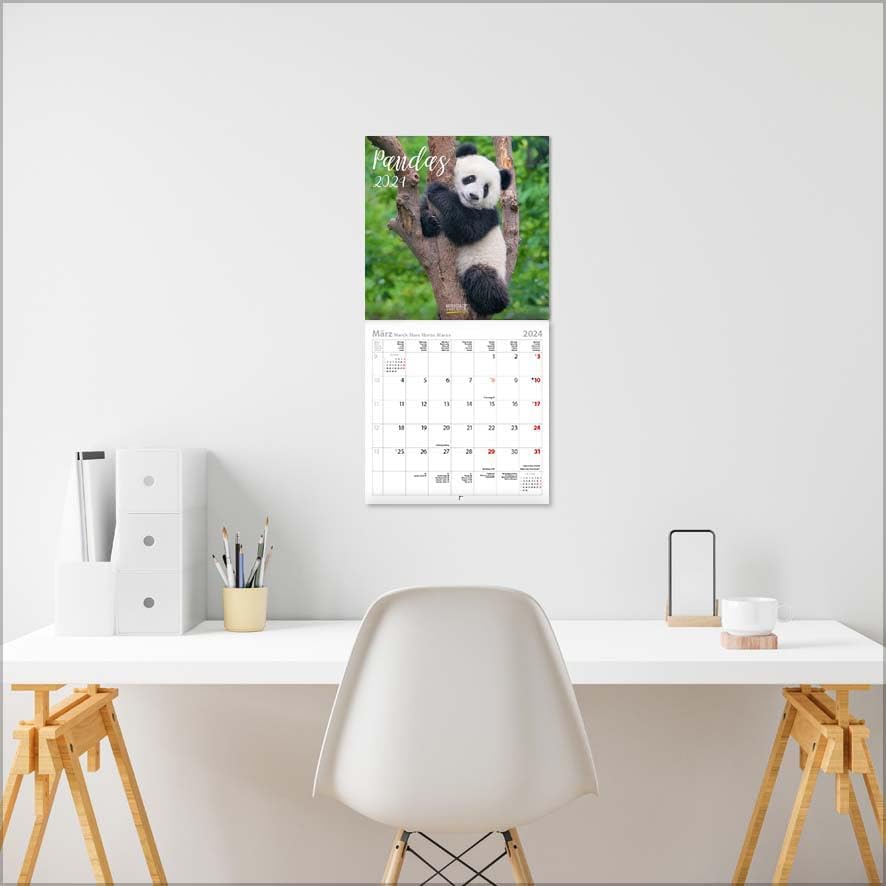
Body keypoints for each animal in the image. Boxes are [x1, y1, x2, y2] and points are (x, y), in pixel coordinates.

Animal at [420, 143, 513, 316]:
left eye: (486, 188)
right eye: (470, 178)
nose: (473, 196)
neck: (465, 204)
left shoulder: (487, 216)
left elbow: (465, 229)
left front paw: (438, 191)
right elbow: (422, 212)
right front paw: (430, 222)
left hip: (486, 263)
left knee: (482, 280)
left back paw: (487, 303)